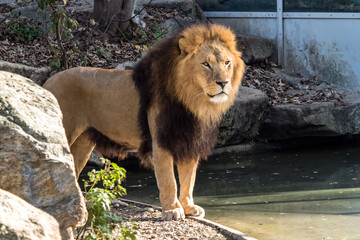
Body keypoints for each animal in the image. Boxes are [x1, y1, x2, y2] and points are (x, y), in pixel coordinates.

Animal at [42, 23, 245, 220]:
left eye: (227, 63)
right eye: (206, 64)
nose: (223, 83)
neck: (193, 101)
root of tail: (47, 82)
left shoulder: (188, 140)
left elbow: (189, 178)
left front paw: (188, 207)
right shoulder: (161, 141)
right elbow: (169, 180)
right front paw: (172, 210)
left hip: (83, 143)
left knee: (72, 170)